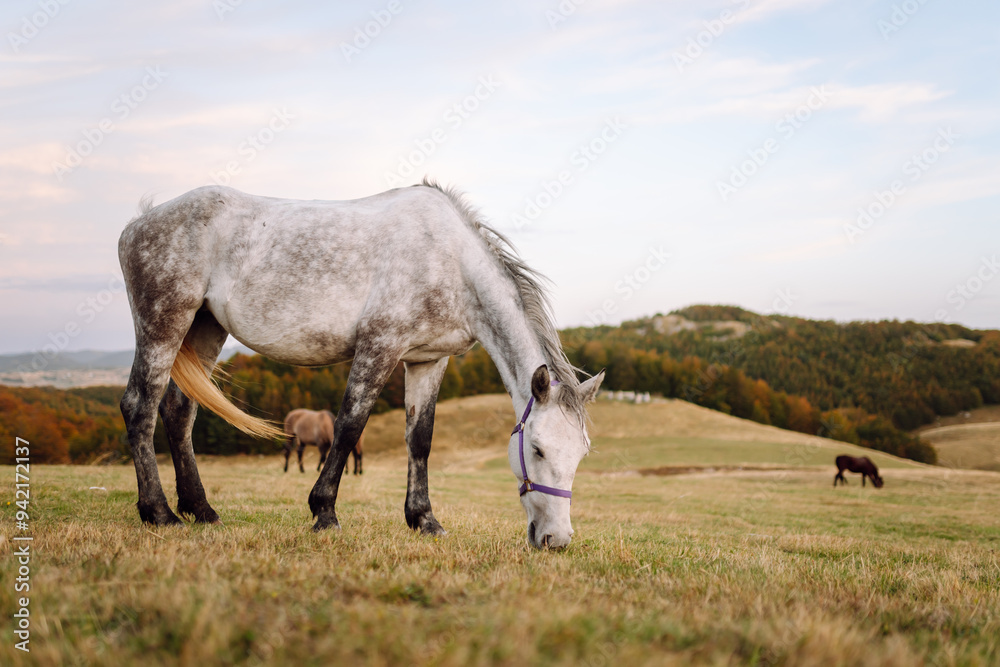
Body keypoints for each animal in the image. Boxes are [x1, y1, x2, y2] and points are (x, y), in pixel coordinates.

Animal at [118, 178, 604, 548]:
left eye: (581, 453)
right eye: (537, 449)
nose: (557, 540)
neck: (450, 261)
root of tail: (138, 223)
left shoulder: (428, 361)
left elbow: (419, 439)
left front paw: (424, 520)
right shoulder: (379, 345)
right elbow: (350, 425)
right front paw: (324, 513)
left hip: (204, 327)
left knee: (179, 411)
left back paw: (200, 509)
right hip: (165, 322)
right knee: (140, 405)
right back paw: (159, 512)